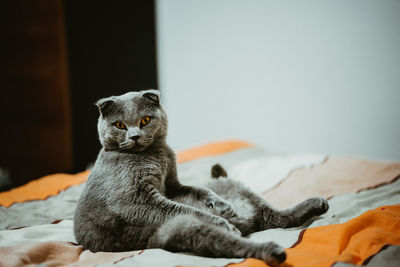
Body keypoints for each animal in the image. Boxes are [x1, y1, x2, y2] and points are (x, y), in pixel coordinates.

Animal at [74, 90, 328, 267]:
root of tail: (248, 221)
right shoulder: (136, 200)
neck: (157, 156)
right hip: (184, 228)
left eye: (145, 120)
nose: (135, 136)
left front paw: (222, 206)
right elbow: (181, 207)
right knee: (242, 240)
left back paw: (317, 203)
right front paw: (219, 218)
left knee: (280, 217)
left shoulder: (172, 185)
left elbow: (198, 191)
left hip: (237, 188)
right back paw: (271, 249)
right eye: (119, 125)